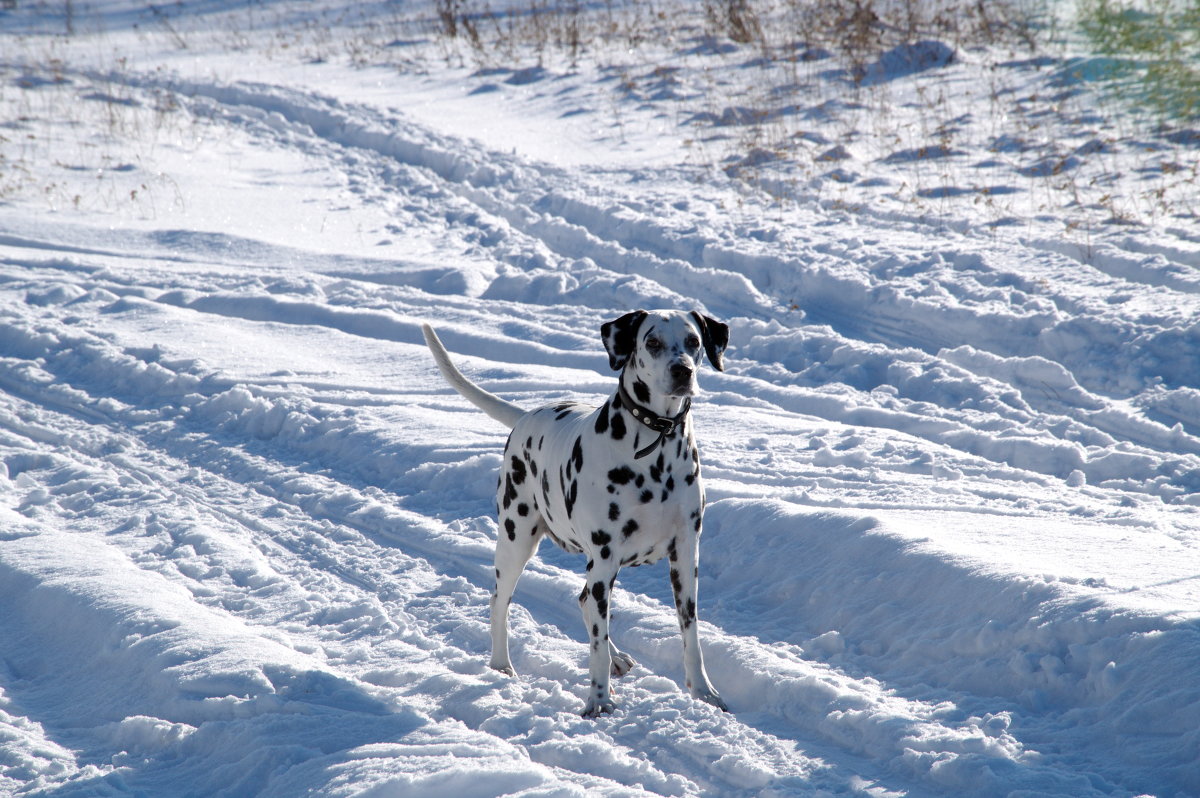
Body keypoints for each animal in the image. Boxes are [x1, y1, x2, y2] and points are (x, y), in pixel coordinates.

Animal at [422, 309, 724, 715]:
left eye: (694, 341)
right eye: (652, 342)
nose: (683, 371)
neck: (654, 449)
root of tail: (526, 415)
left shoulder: (685, 556)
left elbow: (690, 634)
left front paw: (703, 692)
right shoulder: (605, 555)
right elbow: (595, 643)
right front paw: (598, 701)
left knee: (585, 602)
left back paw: (615, 657)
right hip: (517, 541)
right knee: (501, 601)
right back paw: (501, 664)